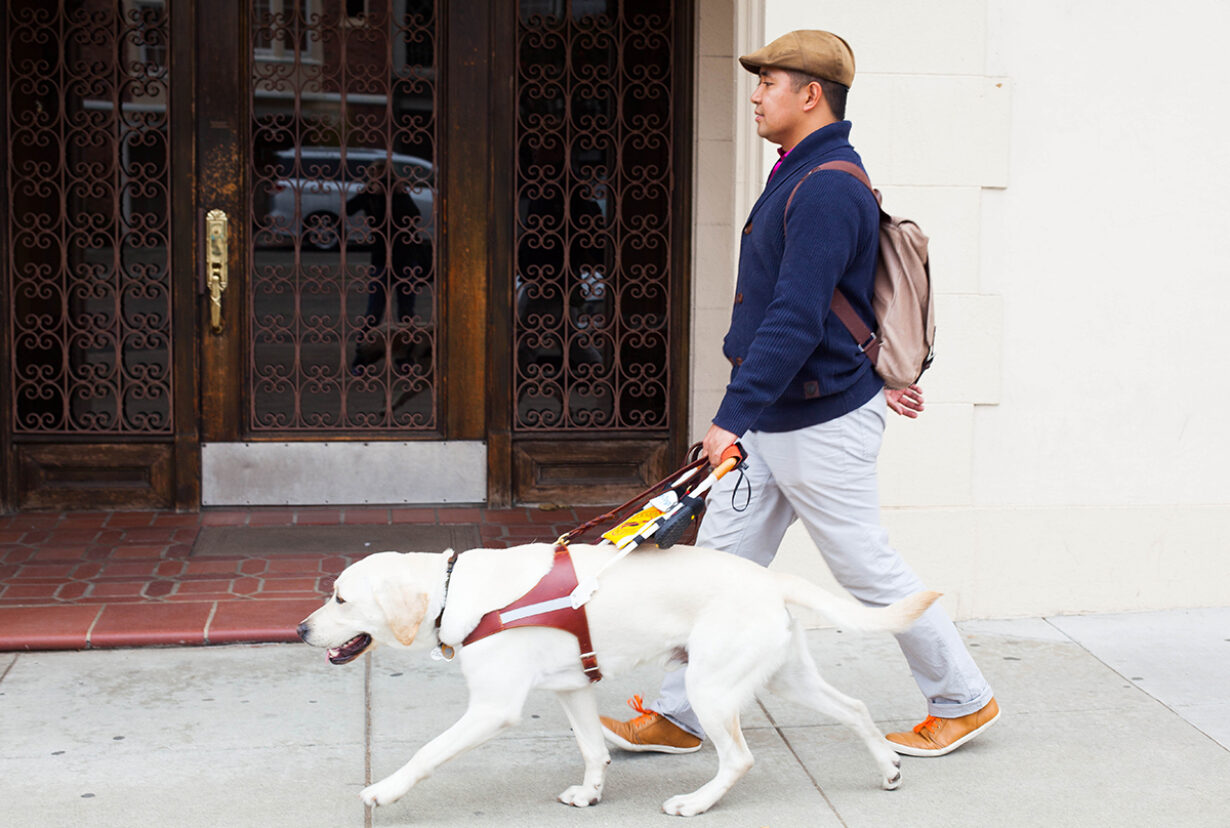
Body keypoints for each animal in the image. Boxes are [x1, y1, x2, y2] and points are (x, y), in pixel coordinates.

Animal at [300, 538, 939, 816]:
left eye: (340, 598)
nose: (302, 629)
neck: (458, 593)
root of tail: (770, 578)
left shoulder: (493, 707)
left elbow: (426, 753)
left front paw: (384, 791)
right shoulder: (573, 687)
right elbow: (593, 750)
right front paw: (590, 793)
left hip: (711, 686)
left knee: (738, 758)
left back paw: (696, 803)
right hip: (785, 676)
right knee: (854, 708)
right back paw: (887, 768)